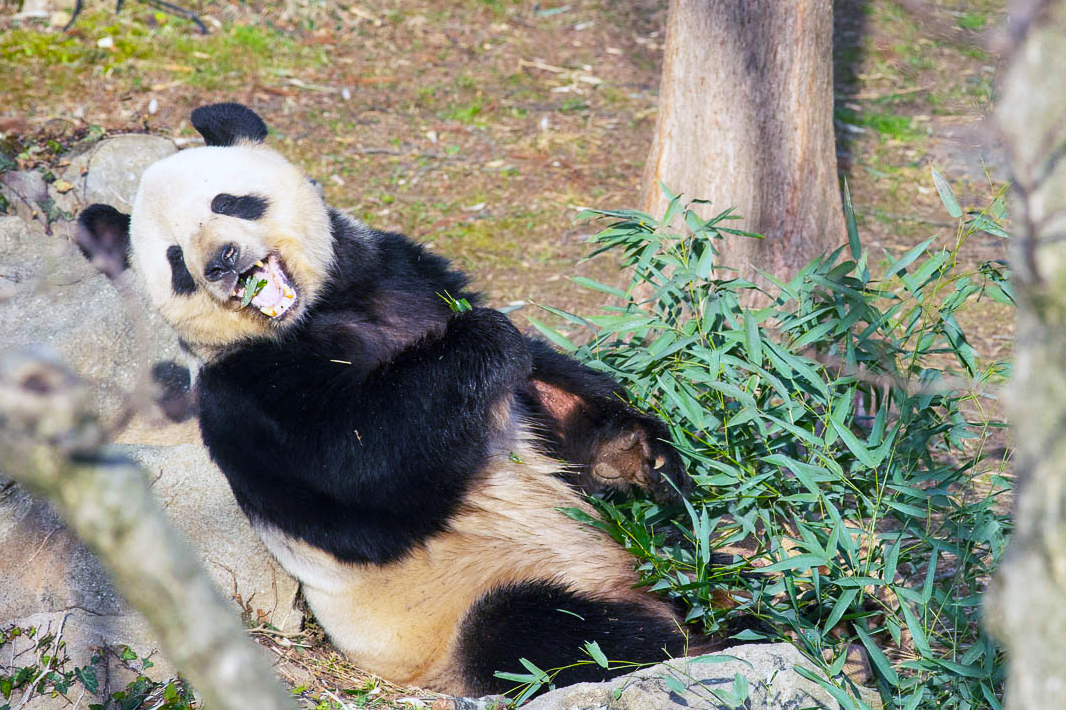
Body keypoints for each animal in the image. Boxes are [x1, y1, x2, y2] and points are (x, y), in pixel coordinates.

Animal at [73, 102, 716, 695]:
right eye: (176, 262)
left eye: (230, 202)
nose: (221, 263)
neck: (314, 315)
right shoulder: (247, 396)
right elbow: (363, 466)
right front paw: (486, 338)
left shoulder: (402, 277)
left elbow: (559, 408)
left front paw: (643, 456)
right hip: (468, 606)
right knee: (547, 633)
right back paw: (685, 633)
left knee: (678, 542)